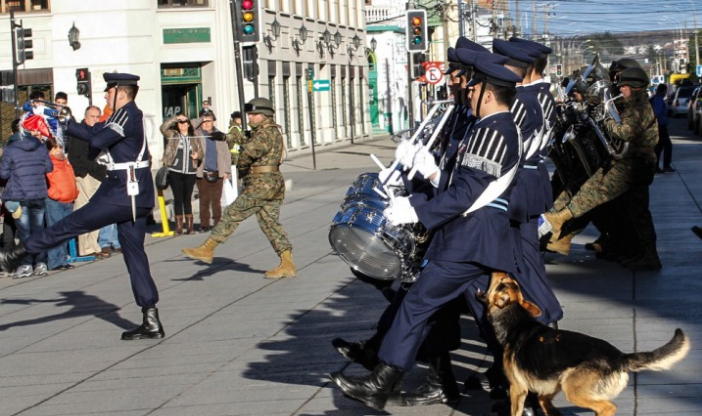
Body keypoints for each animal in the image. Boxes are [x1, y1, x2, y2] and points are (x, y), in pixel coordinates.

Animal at [478, 272, 692, 416]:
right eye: (509, 282)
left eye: (503, 282)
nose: (500, 270)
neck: (514, 318)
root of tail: (618, 356)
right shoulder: (548, 388)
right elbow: (545, 403)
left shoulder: (517, 389)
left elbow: (516, 411)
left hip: (573, 391)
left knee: (608, 407)